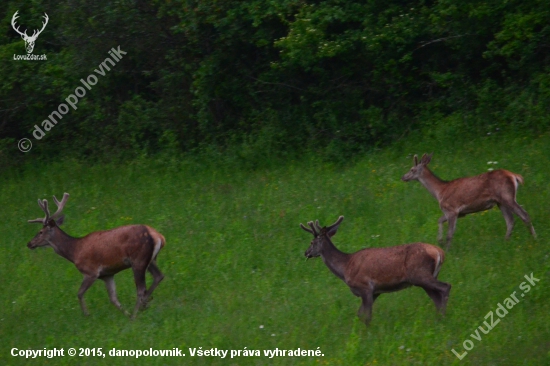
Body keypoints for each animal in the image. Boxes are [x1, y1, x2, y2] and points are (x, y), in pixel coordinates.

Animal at [27, 193, 166, 318]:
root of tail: (158, 236)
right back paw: (144, 305)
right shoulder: (107, 275)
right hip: (151, 260)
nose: (29, 243)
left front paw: (87, 314)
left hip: (138, 260)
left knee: (141, 289)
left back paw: (135, 315)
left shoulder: (91, 271)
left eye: (40, 232)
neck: (75, 251)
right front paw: (126, 314)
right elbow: (113, 299)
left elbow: (79, 293)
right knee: (159, 276)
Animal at [302, 216, 452, 324]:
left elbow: (367, 316)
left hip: (420, 274)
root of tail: (440, 252)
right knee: (437, 298)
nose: (306, 252)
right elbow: (360, 314)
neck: (345, 268)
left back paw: (444, 318)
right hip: (425, 278)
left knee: (446, 287)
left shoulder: (365, 287)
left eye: (311, 242)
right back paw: (439, 319)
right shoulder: (375, 292)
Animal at [404, 153, 536, 250]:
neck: (440, 191)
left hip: (507, 196)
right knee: (510, 221)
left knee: (524, 215)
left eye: (412, 169)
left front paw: (447, 249)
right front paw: (440, 241)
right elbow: (439, 220)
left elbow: (449, 234)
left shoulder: (452, 209)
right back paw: (506, 242)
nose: (403, 177)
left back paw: (534, 238)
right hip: (501, 202)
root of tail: (515, 176)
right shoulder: (459, 213)